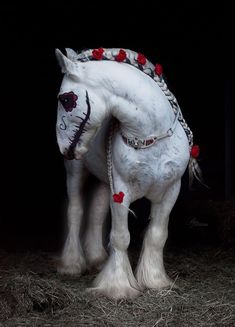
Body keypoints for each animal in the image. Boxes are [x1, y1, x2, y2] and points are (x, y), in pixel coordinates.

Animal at [54, 47, 200, 302]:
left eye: (66, 99)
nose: (63, 149)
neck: (151, 136)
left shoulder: (171, 191)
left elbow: (157, 235)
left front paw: (155, 281)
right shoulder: (122, 190)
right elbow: (121, 237)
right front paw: (117, 287)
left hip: (105, 180)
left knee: (97, 211)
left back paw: (97, 259)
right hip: (75, 173)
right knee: (75, 210)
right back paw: (72, 264)